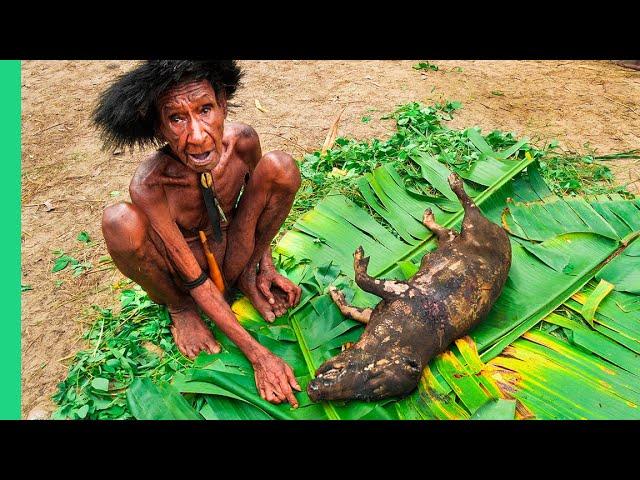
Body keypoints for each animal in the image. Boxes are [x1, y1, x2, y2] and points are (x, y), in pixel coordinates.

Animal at [308, 172, 512, 402]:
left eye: (368, 393)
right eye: (370, 372)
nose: (313, 393)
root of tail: (504, 233)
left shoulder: (400, 291)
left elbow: (362, 282)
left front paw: (357, 261)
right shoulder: (396, 297)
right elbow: (350, 308)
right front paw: (338, 287)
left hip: (474, 227)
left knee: (468, 209)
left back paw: (452, 183)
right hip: (465, 233)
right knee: (454, 225)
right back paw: (432, 210)